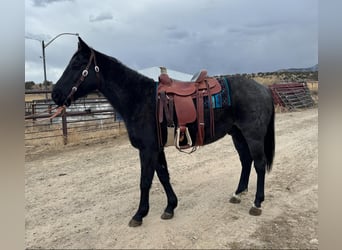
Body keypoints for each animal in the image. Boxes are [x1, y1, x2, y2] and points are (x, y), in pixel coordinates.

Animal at [51, 37, 276, 227]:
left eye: (77, 65)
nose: (55, 94)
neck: (139, 99)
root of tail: (264, 89)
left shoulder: (147, 150)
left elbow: (145, 181)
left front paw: (139, 215)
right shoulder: (156, 149)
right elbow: (163, 176)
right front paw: (170, 207)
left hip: (253, 136)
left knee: (259, 164)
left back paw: (257, 203)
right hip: (237, 134)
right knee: (246, 160)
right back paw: (238, 193)